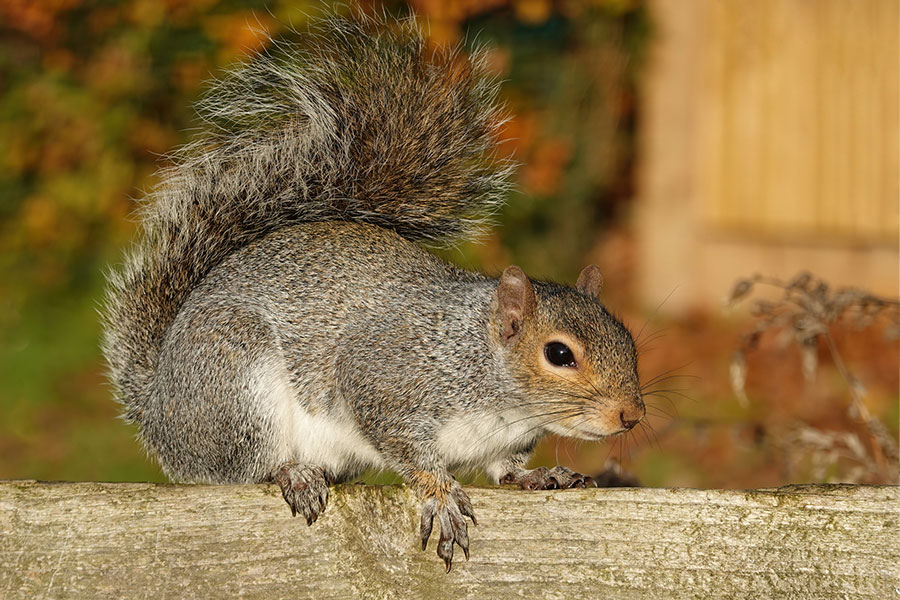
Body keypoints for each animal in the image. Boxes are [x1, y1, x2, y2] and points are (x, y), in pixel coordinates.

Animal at [101, 11, 645, 572]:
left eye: (629, 341)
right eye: (559, 354)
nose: (631, 416)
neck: (481, 369)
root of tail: (159, 409)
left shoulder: (500, 442)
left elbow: (506, 470)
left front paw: (540, 475)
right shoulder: (383, 381)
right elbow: (404, 446)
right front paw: (440, 495)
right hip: (235, 382)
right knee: (242, 465)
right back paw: (292, 473)